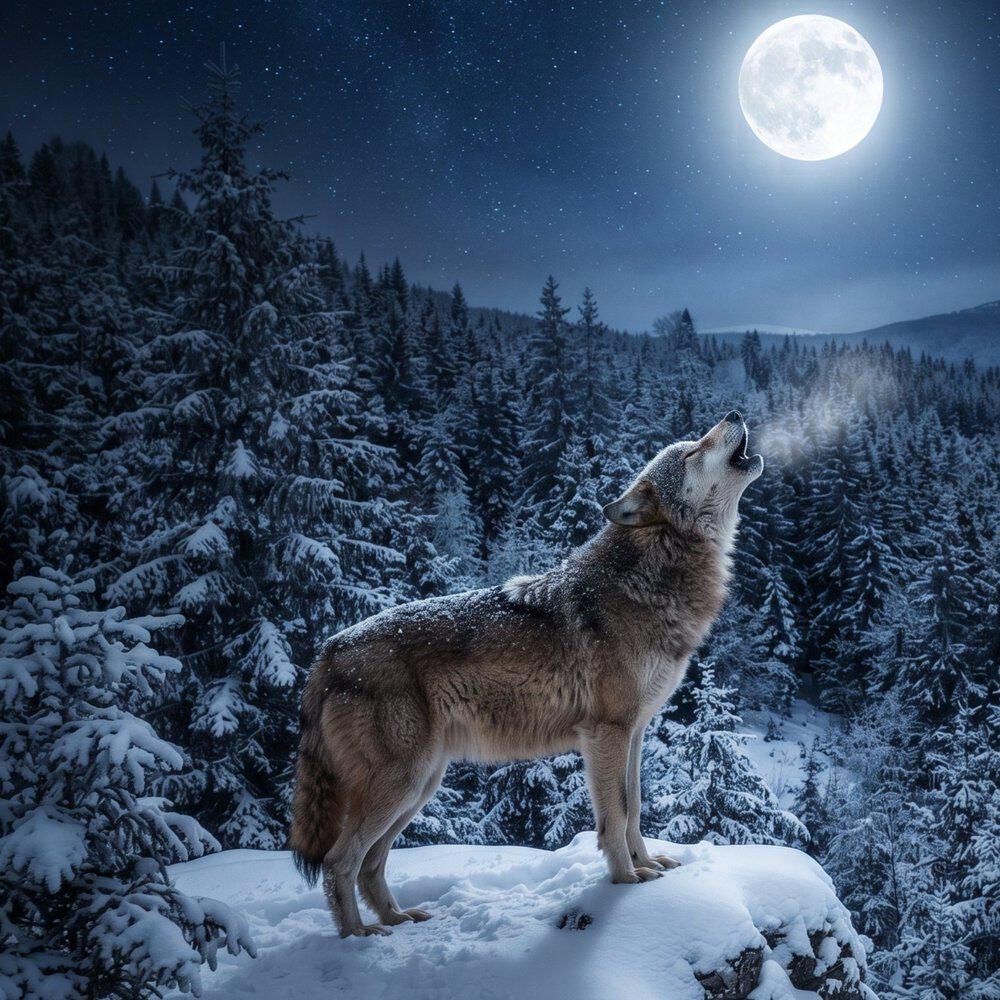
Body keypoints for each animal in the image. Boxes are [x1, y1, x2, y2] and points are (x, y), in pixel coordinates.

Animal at [289, 411, 763, 937]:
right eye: (693, 451)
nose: (734, 414)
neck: (652, 574)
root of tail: (328, 653)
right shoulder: (606, 733)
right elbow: (616, 815)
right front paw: (625, 881)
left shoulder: (635, 731)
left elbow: (635, 807)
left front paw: (648, 866)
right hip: (402, 784)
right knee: (339, 861)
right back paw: (359, 936)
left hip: (420, 784)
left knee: (371, 863)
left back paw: (398, 918)